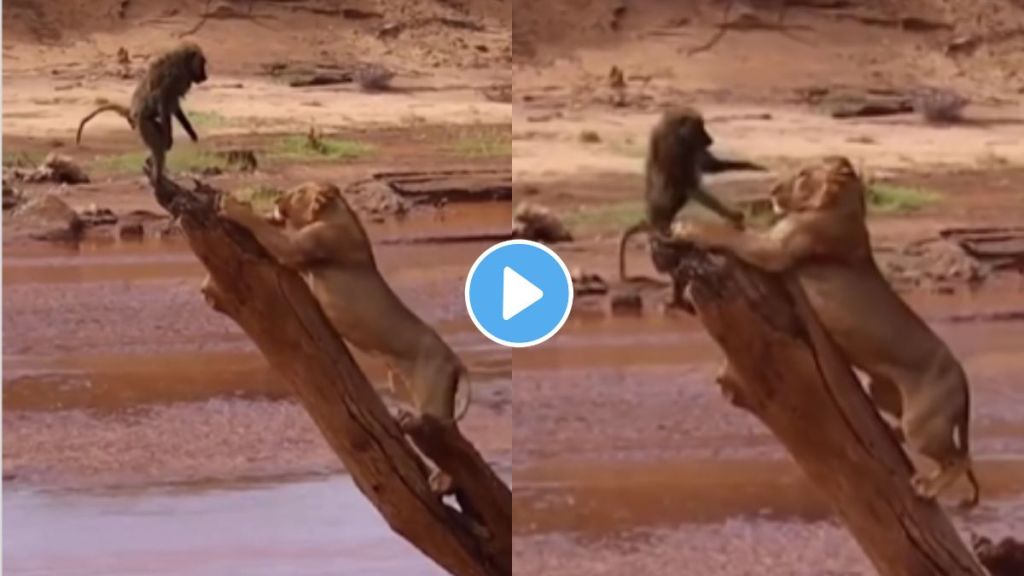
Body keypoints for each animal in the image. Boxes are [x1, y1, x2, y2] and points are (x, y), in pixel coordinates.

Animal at [76, 41, 208, 182]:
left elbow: (174, 107)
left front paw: (192, 133)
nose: (205, 76)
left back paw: (152, 166)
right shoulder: (173, 78)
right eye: (202, 62)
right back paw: (157, 178)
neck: (181, 63)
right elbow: (162, 100)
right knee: (158, 148)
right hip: (143, 122)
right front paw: (169, 140)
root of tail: (132, 111)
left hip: (149, 122)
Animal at [216, 182, 472, 425]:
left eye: (299, 192)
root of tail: (455, 359)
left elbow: (261, 226)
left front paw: (232, 205)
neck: (332, 213)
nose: (277, 199)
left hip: (432, 391)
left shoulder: (295, 248)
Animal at [666, 156, 980, 508]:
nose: (771, 190)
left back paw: (927, 486)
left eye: (803, 174)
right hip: (882, 392)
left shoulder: (773, 249)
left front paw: (686, 227)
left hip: (923, 422)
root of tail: (962, 377)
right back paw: (892, 434)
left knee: (959, 458)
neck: (841, 205)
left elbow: (729, 234)